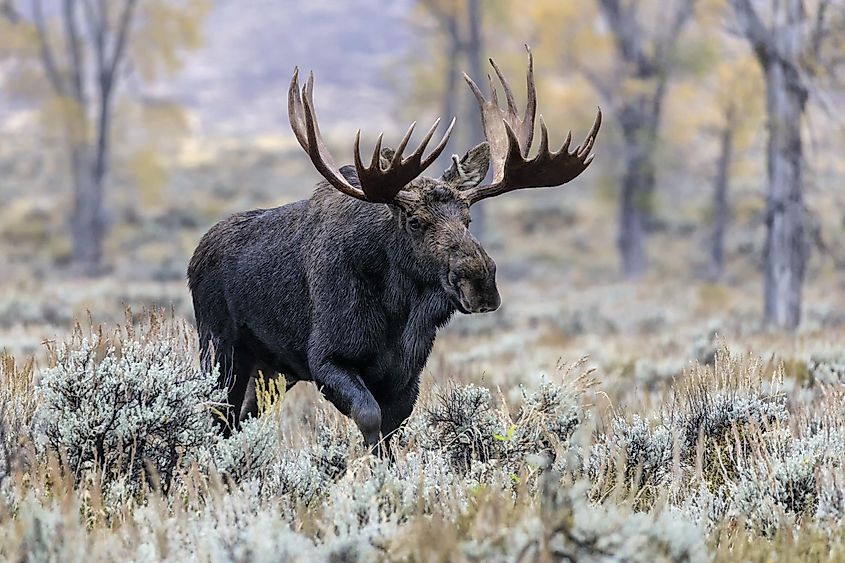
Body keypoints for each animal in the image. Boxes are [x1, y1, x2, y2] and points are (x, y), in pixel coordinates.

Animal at [188, 47, 600, 453]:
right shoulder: (325, 357)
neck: (396, 312)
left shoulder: (406, 374)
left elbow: (390, 432)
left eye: (468, 218)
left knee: (239, 419)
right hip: (221, 350)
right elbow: (370, 420)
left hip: (271, 371)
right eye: (415, 221)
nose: (480, 282)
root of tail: (195, 257)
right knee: (217, 417)